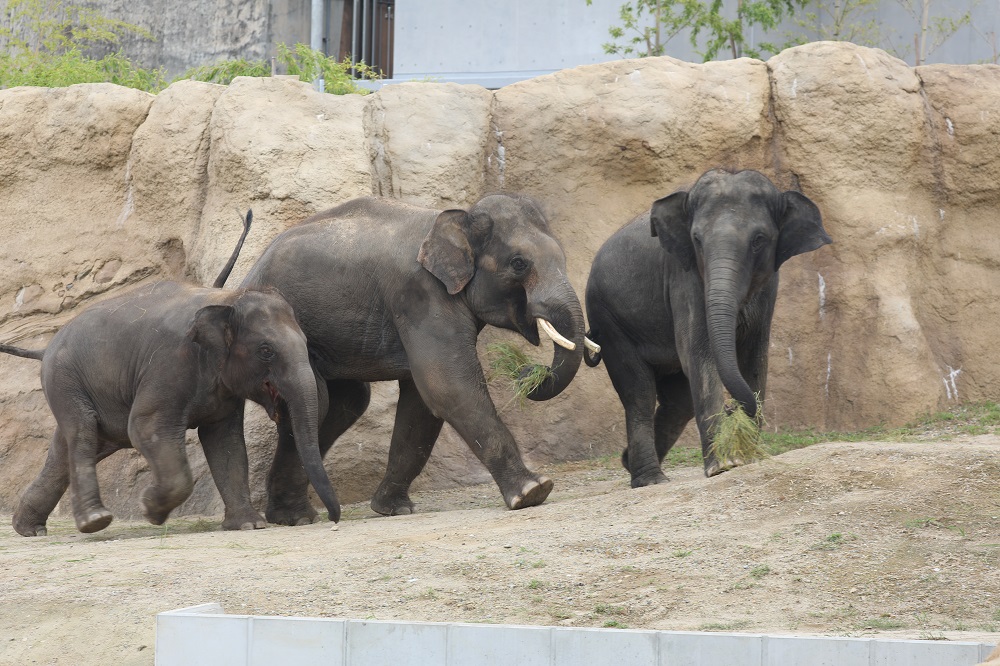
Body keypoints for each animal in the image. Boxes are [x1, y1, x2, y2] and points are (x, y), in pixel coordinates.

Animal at [1, 213, 340, 536]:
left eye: (306, 343)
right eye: (266, 350)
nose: (333, 520)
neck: (226, 299)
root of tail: (46, 348)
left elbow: (225, 441)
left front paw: (248, 526)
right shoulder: (169, 364)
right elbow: (146, 426)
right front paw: (150, 510)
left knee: (69, 447)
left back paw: (28, 528)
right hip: (64, 379)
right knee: (82, 433)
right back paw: (94, 521)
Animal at [242, 192, 584, 520]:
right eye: (518, 263)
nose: (527, 374)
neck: (455, 219)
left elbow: (421, 403)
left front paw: (391, 509)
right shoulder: (420, 293)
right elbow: (448, 386)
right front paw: (532, 492)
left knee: (345, 402)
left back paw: (292, 515)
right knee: (320, 400)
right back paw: (294, 516)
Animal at [584, 169, 832, 486]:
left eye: (759, 240)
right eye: (697, 239)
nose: (731, 408)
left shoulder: (769, 288)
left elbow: (755, 359)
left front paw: (749, 456)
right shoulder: (685, 275)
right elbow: (700, 356)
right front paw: (724, 466)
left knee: (678, 402)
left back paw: (629, 463)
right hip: (609, 320)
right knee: (639, 392)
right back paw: (651, 479)